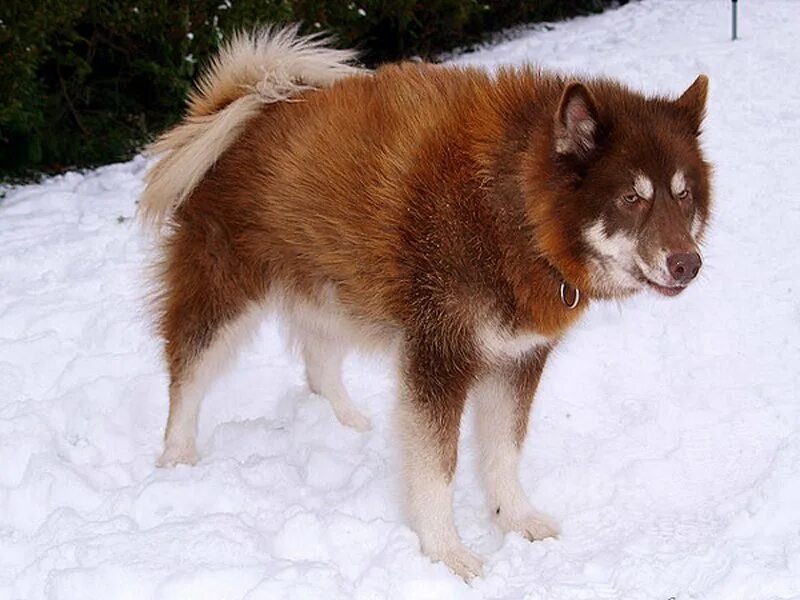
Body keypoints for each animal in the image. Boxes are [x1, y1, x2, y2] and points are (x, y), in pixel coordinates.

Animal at [139, 25, 712, 580]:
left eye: (683, 194)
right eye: (631, 198)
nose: (688, 264)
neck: (516, 211)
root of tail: (241, 108)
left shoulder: (518, 359)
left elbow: (504, 452)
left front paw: (514, 518)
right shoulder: (439, 359)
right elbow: (439, 470)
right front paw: (446, 553)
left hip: (334, 291)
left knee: (320, 366)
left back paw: (346, 422)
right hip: (225, 295)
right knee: (186, 375)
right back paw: (177, 458)